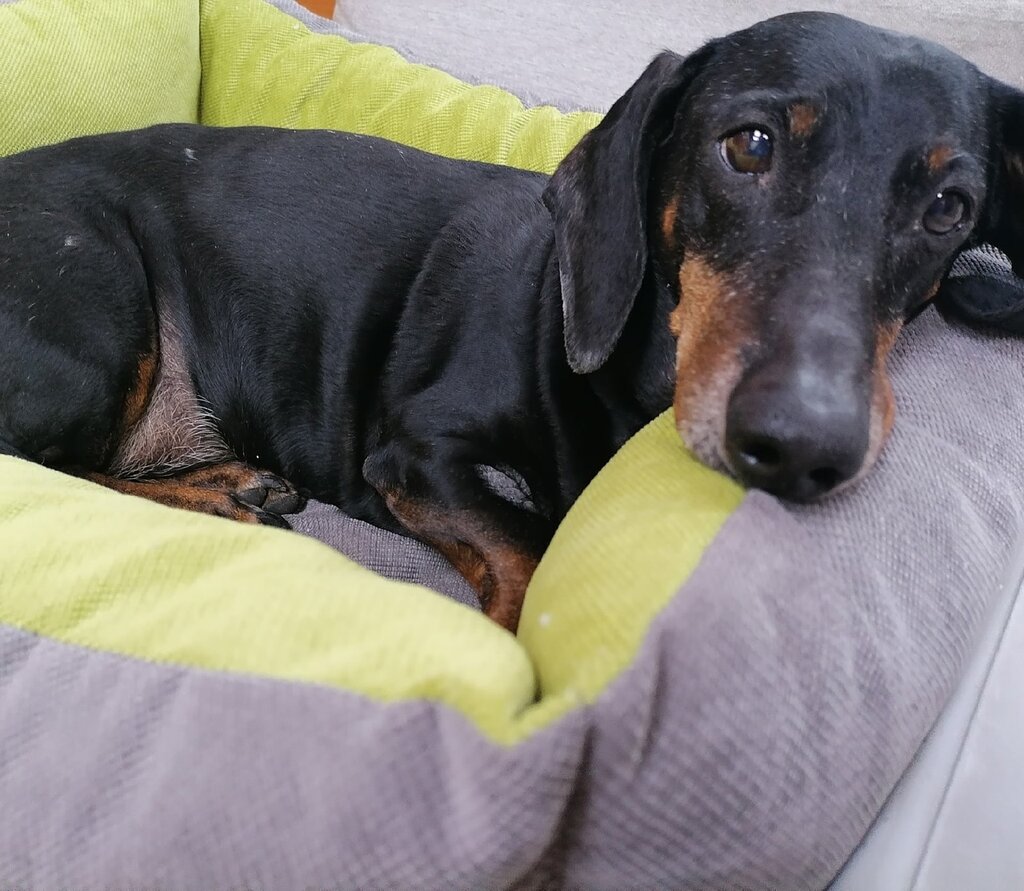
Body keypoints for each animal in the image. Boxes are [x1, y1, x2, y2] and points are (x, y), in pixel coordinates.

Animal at [0, 12, 1021, 631]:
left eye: (950, 208)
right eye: (751, 145)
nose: (806, 444)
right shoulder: (415, 450)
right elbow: (526, 540)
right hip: (99, 319)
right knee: (44, 468)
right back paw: (220, 493)